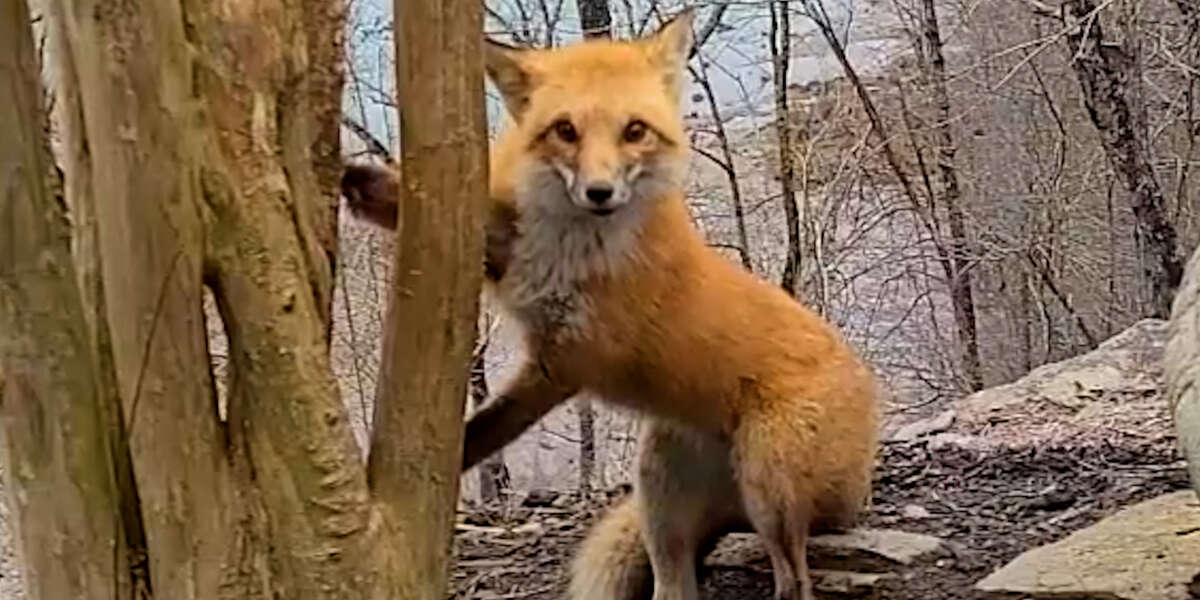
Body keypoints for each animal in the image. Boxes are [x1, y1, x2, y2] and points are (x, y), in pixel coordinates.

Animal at [340, 10, 879, 600]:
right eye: (565, 130)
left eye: (634, 131)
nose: (600, 193)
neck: (571, 241)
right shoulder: (521, 260)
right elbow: (474, 221)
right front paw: (363, 183)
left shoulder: (568, 358)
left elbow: (487, 428)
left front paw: (443, 459)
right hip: (661, 499)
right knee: (675, 584)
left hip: (771, 488)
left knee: (794, 579)